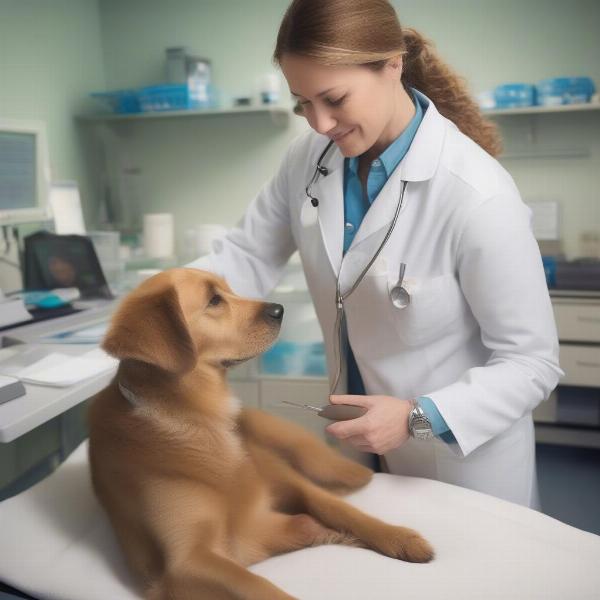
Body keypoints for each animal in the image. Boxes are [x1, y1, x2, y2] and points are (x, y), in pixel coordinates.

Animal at [89, 268, 434, 600]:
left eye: (228, 289)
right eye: (214, 300)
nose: (279, 309)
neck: (199, 422)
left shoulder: (288, 484)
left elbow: (340, 509)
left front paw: (399, 536)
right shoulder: (186, 562)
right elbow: (260, 587)